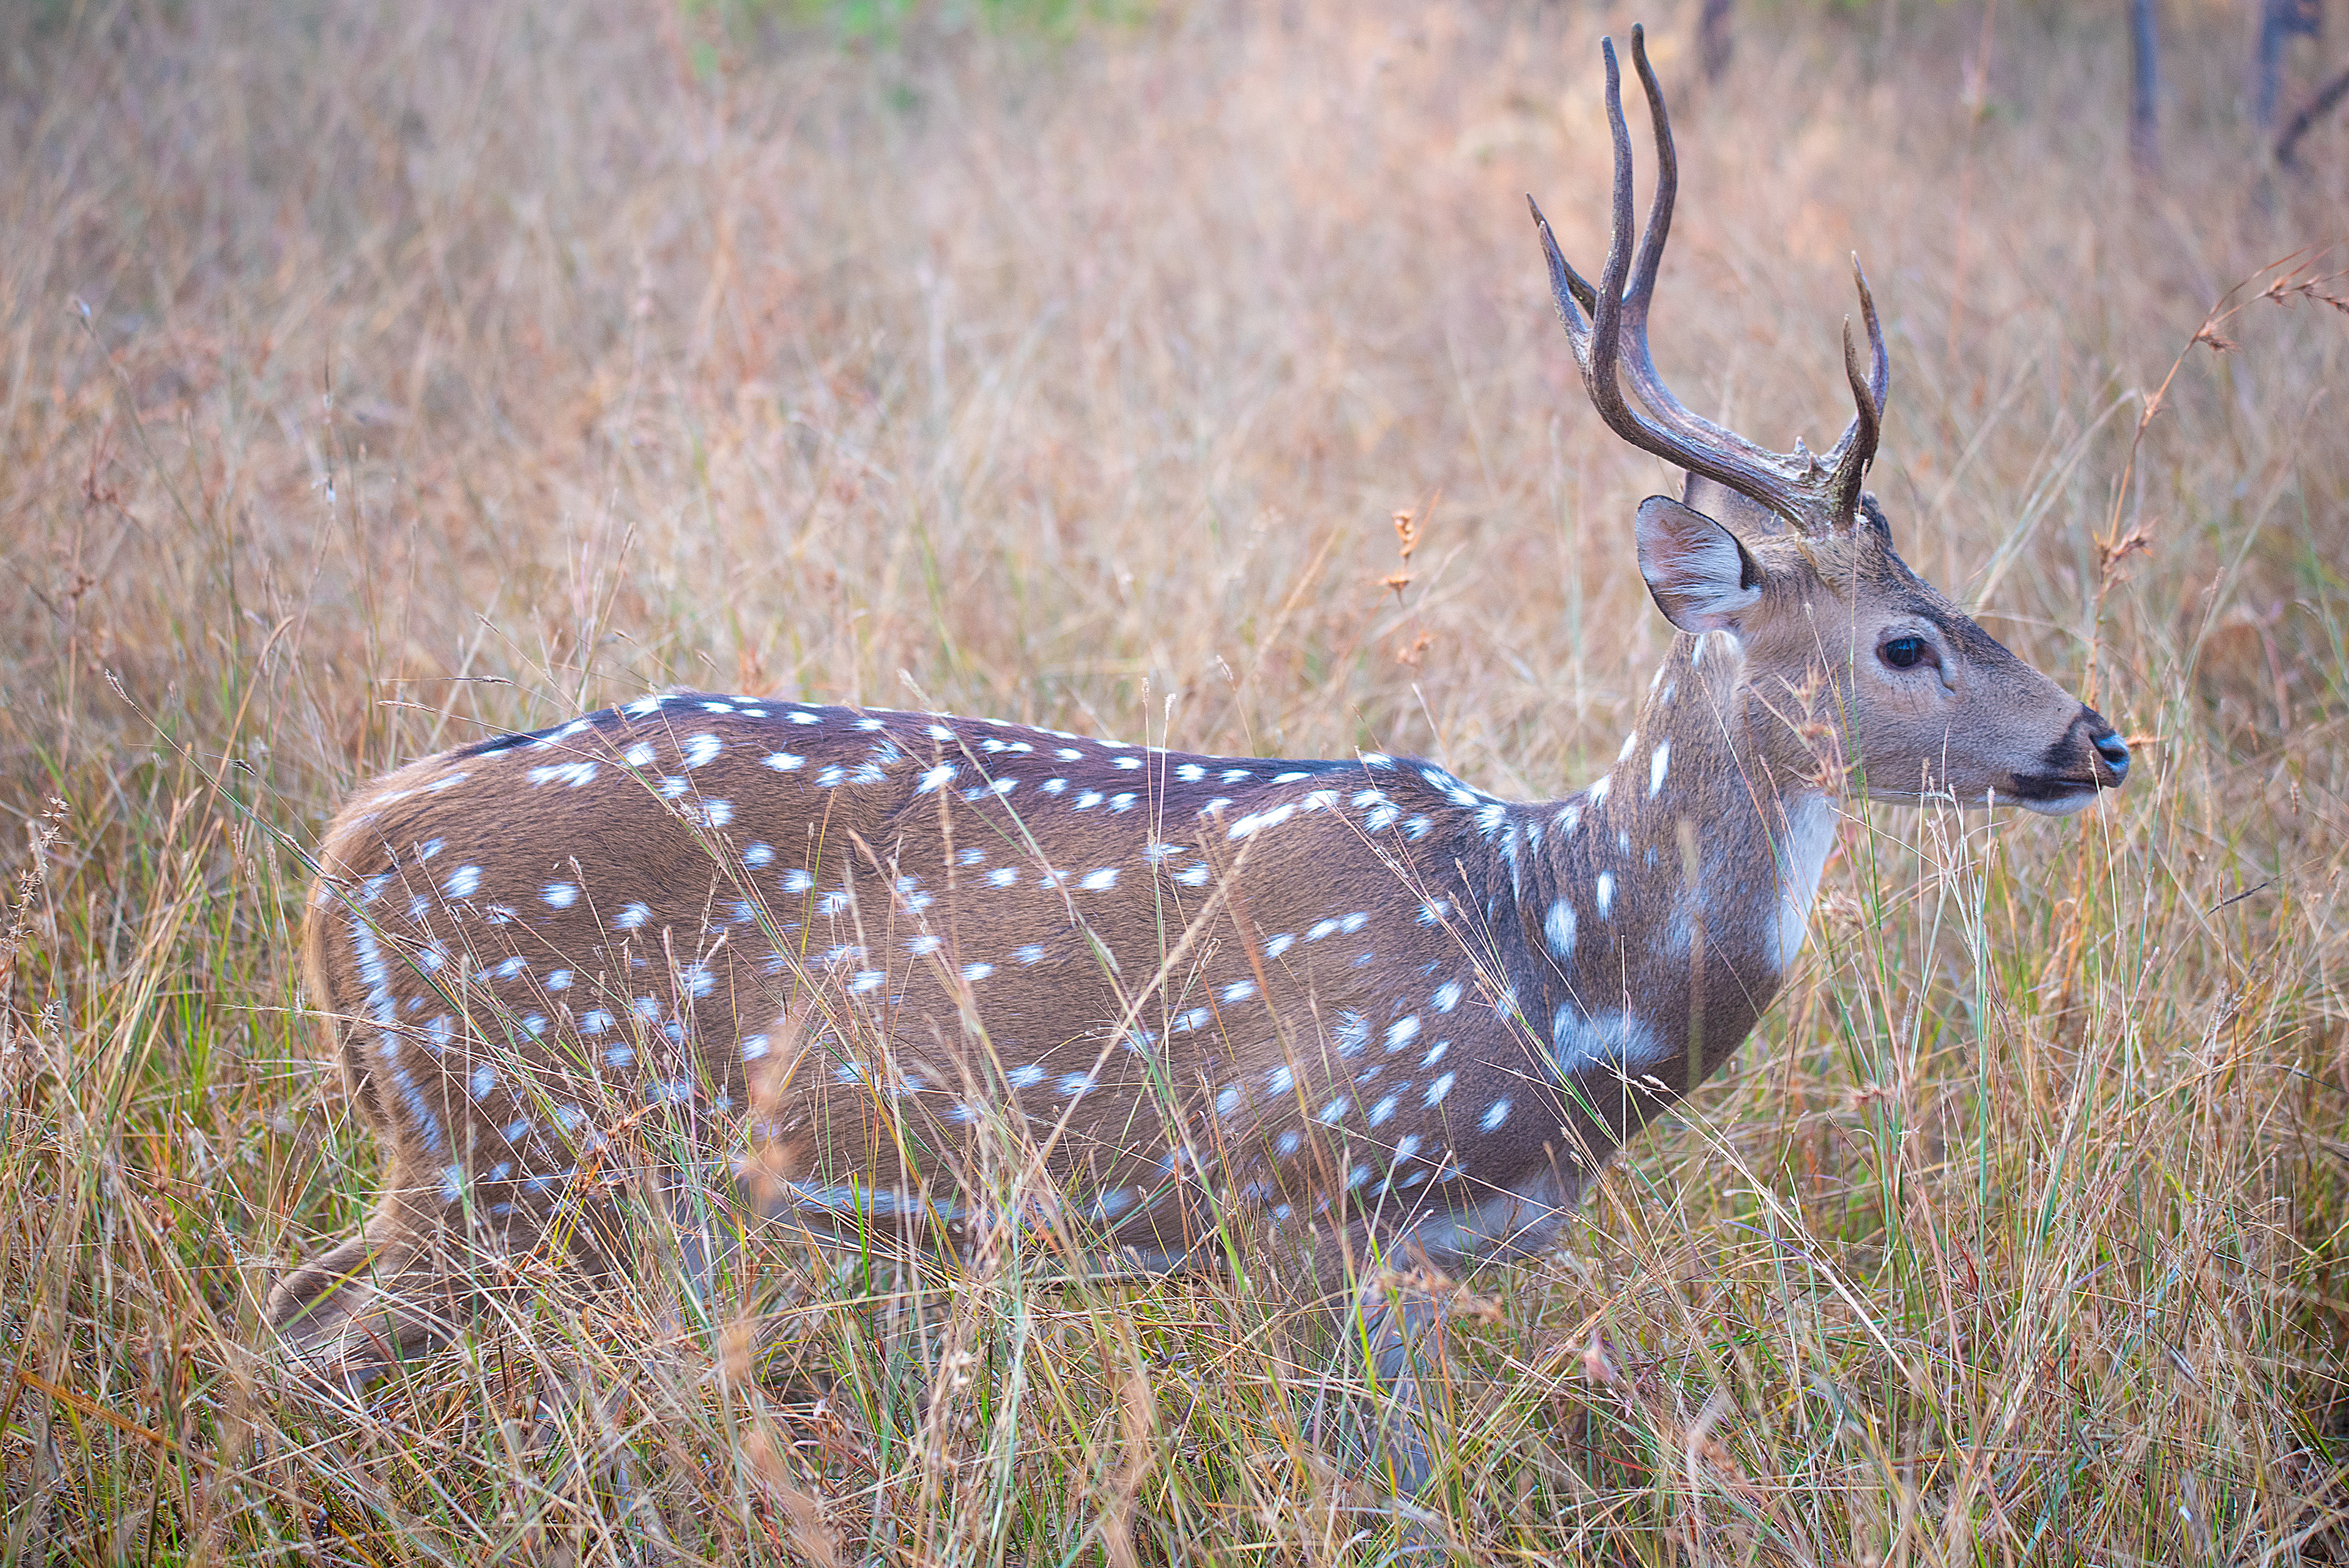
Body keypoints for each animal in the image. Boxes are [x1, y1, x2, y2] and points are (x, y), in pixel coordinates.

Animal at [265, 28, 2130, 1434]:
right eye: (1904, 640)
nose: (2098, 741)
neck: (1552, 963)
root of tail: (348, 846)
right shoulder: (1315, 1205)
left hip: (500, 1160)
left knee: (288, 1306)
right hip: (506, 1139)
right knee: (302, 1350)